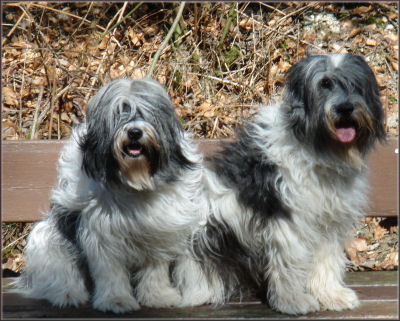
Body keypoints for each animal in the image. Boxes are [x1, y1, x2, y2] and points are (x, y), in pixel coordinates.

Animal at [14, 77, 205, 312]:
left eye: (146, 112)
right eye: (119, 112)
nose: (134, 132)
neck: (135, 182)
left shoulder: (158, 230)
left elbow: (155, 269)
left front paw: (158, 296)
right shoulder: (101, 233)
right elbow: (110, 271)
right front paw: (117, 300)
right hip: (46, 239)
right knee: (58, 274)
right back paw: (67, 294)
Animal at [176, 53, 388, 314]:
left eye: (355, 84)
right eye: (324, 84)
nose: (345, 108)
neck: (319, 149)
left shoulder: (327, 220)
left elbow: (326, 259)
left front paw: (330, 294)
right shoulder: (290, 219)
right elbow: (290, 262)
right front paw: (293, 300)